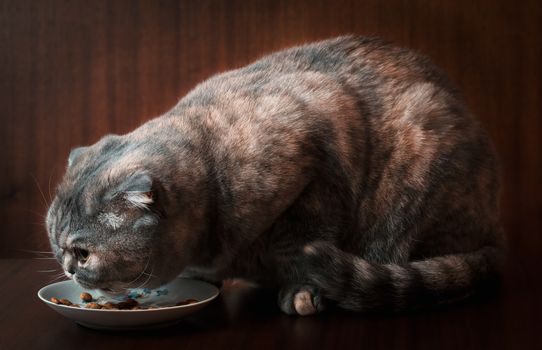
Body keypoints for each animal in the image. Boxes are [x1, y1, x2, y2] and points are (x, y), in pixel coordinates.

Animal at [45, 35, 506, 314]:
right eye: (54, 242)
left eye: (82, 252)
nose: (67, 267)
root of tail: (492, 232)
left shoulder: (318, 168)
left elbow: (300, 240)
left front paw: (302, 288)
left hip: (414, 170)